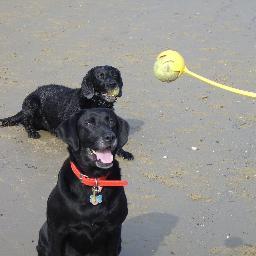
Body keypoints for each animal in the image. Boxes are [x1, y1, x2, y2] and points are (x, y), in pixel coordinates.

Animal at [0, 65, 133, 159]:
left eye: (115, 75)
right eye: (100, 76)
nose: (112, 84)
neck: (96, 103)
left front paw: (123, 152)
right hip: (32, 103)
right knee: (25, 122)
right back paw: (32, 132)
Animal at [37, 108, 129, 256]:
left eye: (111, 122)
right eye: (88, 123)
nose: (110, 137)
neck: (94, 179)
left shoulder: (114, 230)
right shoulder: (57, 230)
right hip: (44, 233)